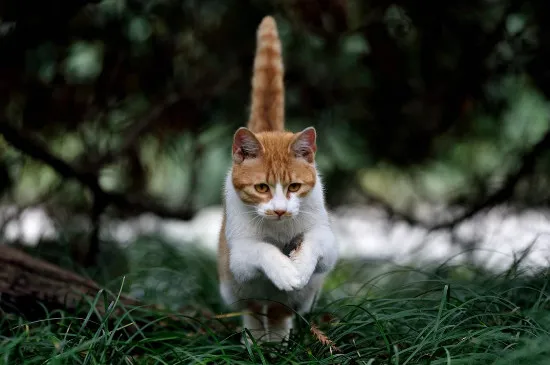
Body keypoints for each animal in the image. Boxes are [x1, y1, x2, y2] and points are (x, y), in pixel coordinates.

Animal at [218, 15, 338, 342]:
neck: (280, 229)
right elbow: (263, 249)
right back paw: (258, 341)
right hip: (234, 288)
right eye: (261, 187)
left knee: (281, 311)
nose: (281, 210)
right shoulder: (239, 258)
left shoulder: (329, 246)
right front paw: (284, 269)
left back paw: (279, 342)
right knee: (255, 310)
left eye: (295, 186)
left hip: (307, 294)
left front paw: (298, 267)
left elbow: (315, 241)